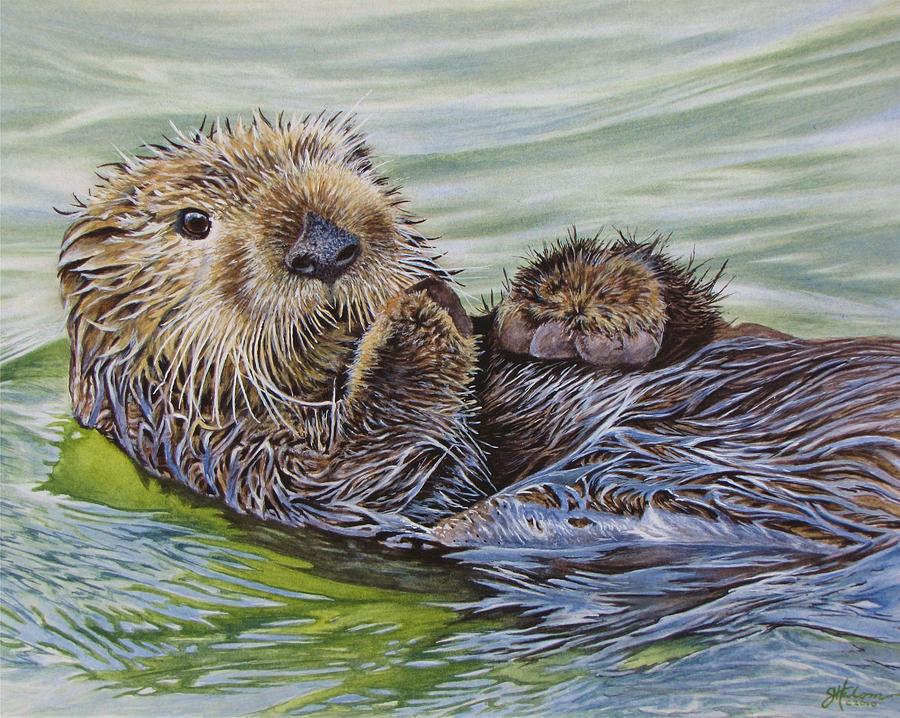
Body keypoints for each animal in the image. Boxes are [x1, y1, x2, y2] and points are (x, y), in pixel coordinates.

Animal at [59, 112, 900, 548]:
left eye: (341, 166)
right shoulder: (242, 471)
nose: (326, 244)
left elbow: (682, 329)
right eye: (192, 223)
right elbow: (385, 471)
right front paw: (414, 320)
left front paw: (584, 301)